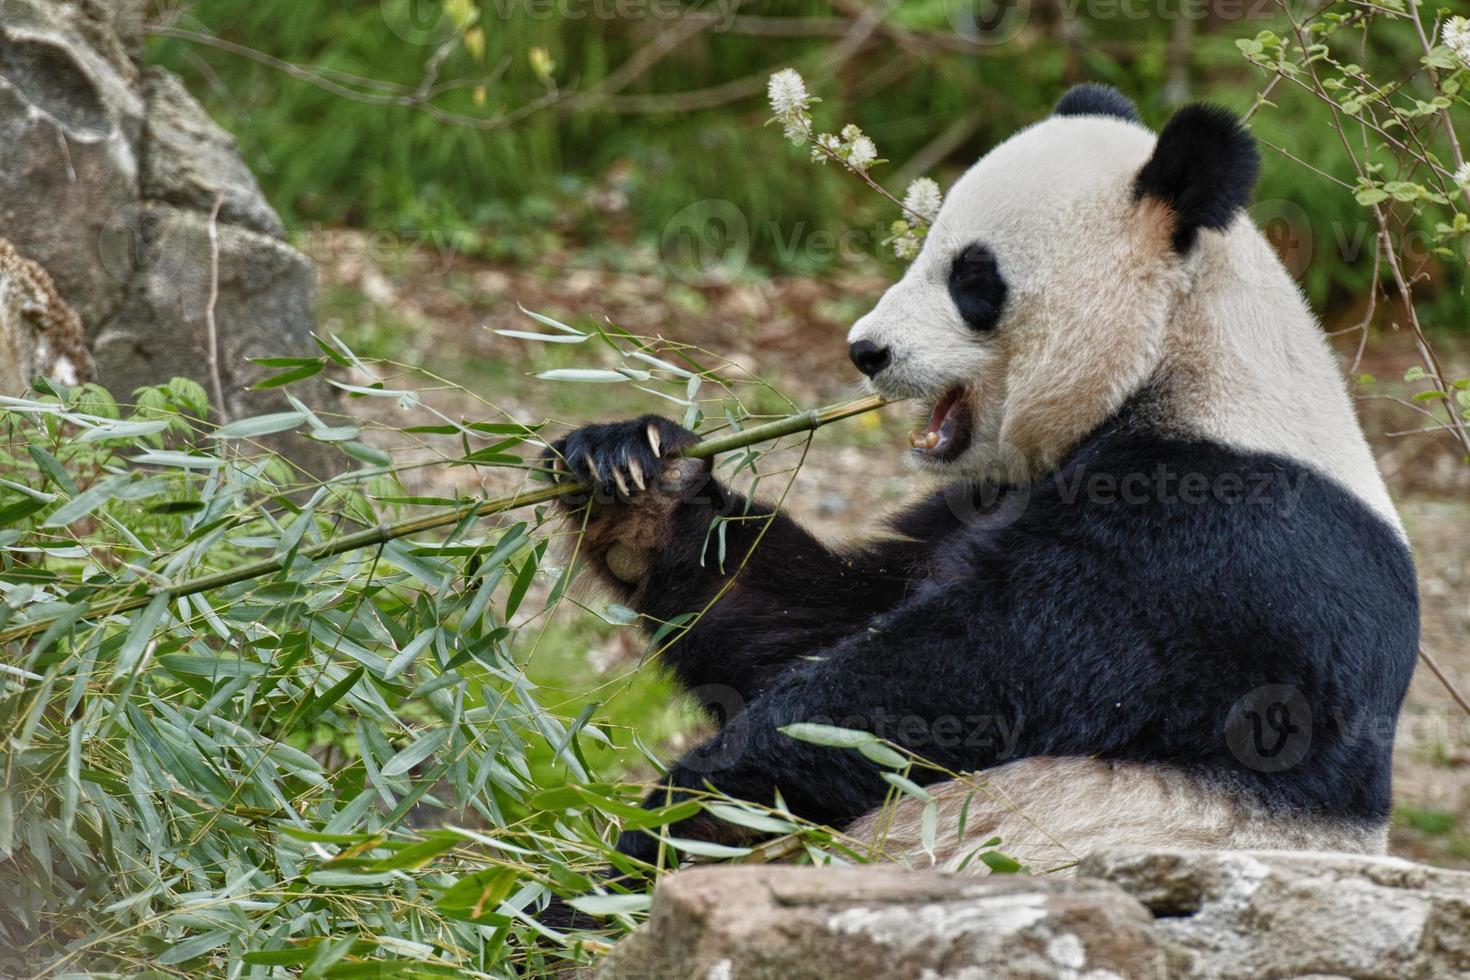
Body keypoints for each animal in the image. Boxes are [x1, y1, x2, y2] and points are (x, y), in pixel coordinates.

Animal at [546, 84, 1417, 881]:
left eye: (974, 277)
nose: (865, 350)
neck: (1179, 353)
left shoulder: (1208, 540)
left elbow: (941, 691)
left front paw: (677, 818)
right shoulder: (981, 497)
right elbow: (808, 618)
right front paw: (636, 476)